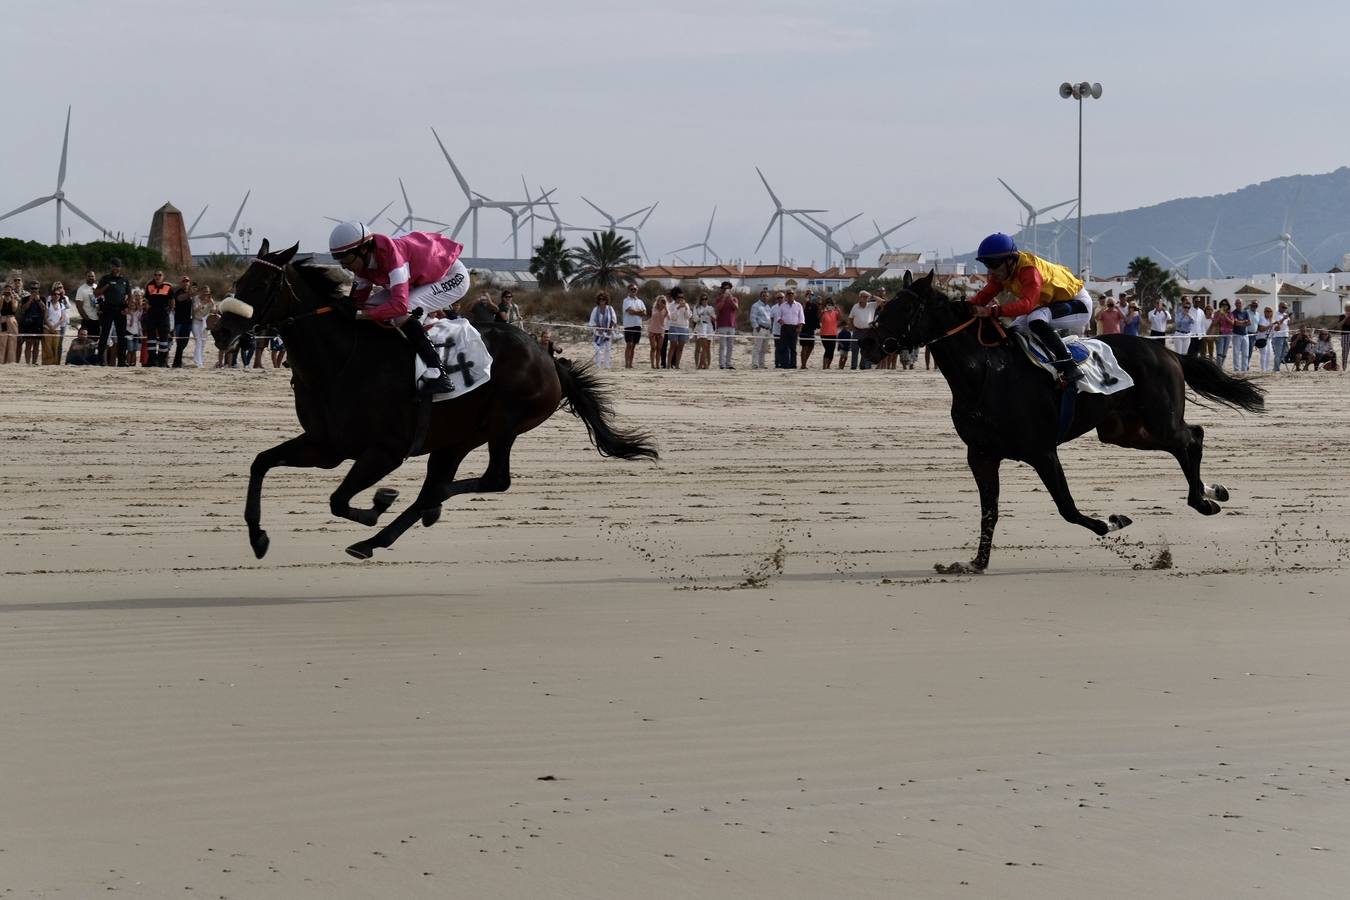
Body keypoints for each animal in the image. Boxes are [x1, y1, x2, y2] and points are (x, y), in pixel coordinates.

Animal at [213, 242, 656, 558]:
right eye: (239, 281)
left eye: (261, 285)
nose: (221, 332)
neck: (340, 360)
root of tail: (549, 358)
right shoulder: (326, 446)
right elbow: (261, 463)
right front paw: (257, 537)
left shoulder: (385, 450)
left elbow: (339, 500)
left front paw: (377, 503)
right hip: (456, 439)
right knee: (441, 484)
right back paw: (384, 535)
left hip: (504, 423)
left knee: (488, 480)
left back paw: (410, 517)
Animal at [864, 271, 1263, 574]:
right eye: (884, 305)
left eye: (905, 307)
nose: (868, 344)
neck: (985, 374)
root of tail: (1166, 351)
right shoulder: (981, 454)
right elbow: (989, 512)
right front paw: (976, 562)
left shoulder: (1041, 451)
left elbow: (1067, 508)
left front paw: (1110, 521)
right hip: (1125, 431)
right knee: (1188, 438)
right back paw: (1213, 491)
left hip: (1158, 418)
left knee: (1190, 438)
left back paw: (1204, 500)